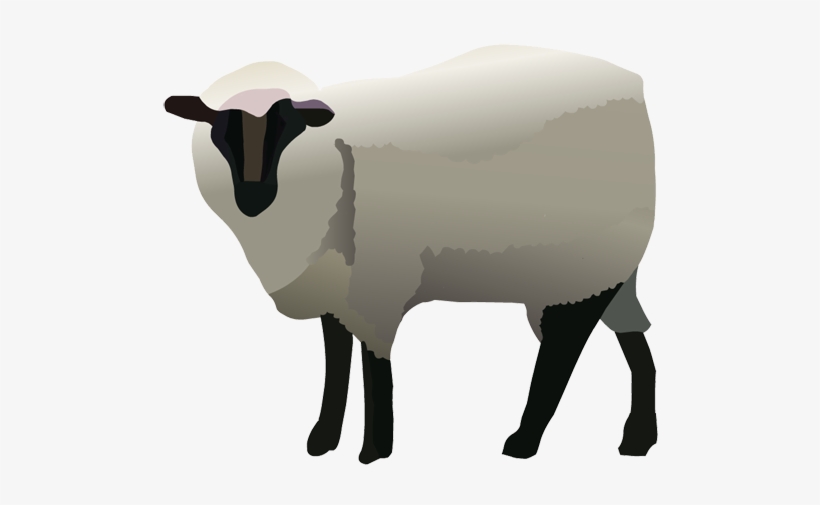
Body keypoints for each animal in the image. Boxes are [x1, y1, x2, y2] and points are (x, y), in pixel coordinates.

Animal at [164, 45, 657, 464]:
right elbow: (335, 355)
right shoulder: (335, 286)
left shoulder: (377, 284)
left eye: (290, 127)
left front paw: (374, 450)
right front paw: (323, 439)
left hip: (583, 264)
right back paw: (637, 439)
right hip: (607, 272)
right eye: (220, 130)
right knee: (629, 333)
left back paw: (523, 442)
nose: (253, 197)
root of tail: (633, 83)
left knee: (564, 346)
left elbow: (373, 362)